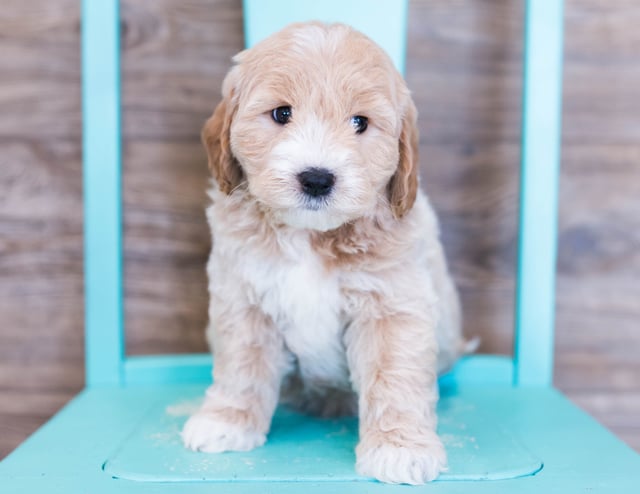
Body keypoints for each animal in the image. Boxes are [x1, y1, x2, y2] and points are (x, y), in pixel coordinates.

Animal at [182, 21, 462, 484]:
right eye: (281, 114)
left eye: (360, 122)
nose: (316, 178)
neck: (310, 237)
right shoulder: (244, 298)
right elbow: (242, 364)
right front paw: (226, 421)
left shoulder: (392, 306)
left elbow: (395, 376)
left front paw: (399, 448)